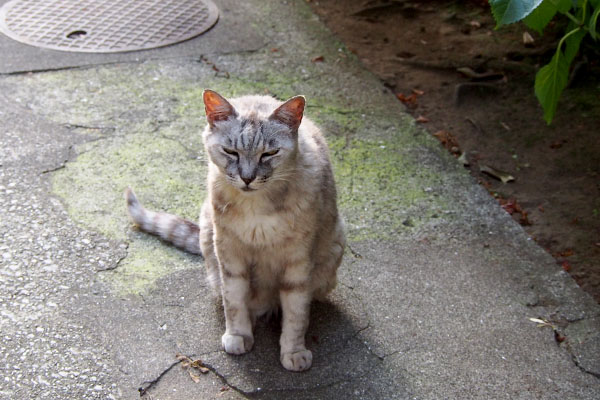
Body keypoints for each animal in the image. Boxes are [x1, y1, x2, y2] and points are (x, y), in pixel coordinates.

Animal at [124, 90, 344, 372]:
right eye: (231, 151)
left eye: (269, 153)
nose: (247, 178)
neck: (257, 206)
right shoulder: (229, 252)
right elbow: (234, 301)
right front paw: (238, 335)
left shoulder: (298, 260)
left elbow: (296, 313)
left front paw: (293, 351)